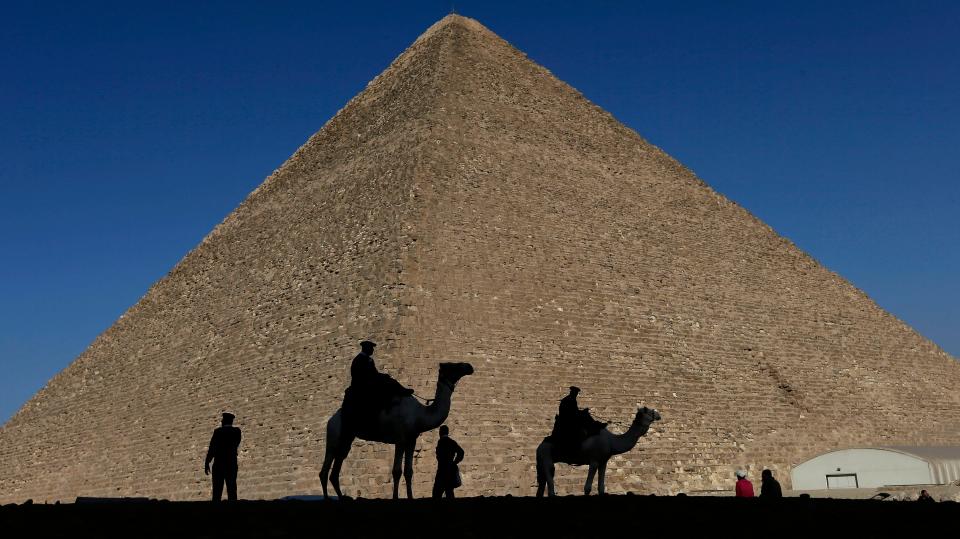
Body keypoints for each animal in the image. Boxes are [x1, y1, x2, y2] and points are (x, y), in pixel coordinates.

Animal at [320, 364, 474, 500]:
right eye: (453, 366)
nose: (469, 366)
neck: (419, 415)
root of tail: (331, 419)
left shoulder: (411, 440)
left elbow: (409, 471)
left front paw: (411, 497)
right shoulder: (400, 439)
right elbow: (396, 471)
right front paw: (395, 497)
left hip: (347, 438)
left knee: (337, 465)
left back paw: (342, 497)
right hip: (334, 434)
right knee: (325, 468)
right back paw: (328, 498)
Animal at [532, 408, 660, 496]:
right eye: (649, 411)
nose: (659, 414)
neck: (611, 441)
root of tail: (539, 446)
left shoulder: (603, 462)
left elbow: (601, 487)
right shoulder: (594, 461)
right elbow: (587, 487)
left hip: (542, 462)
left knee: (541, 487)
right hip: (547, 458)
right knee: (550, 486)